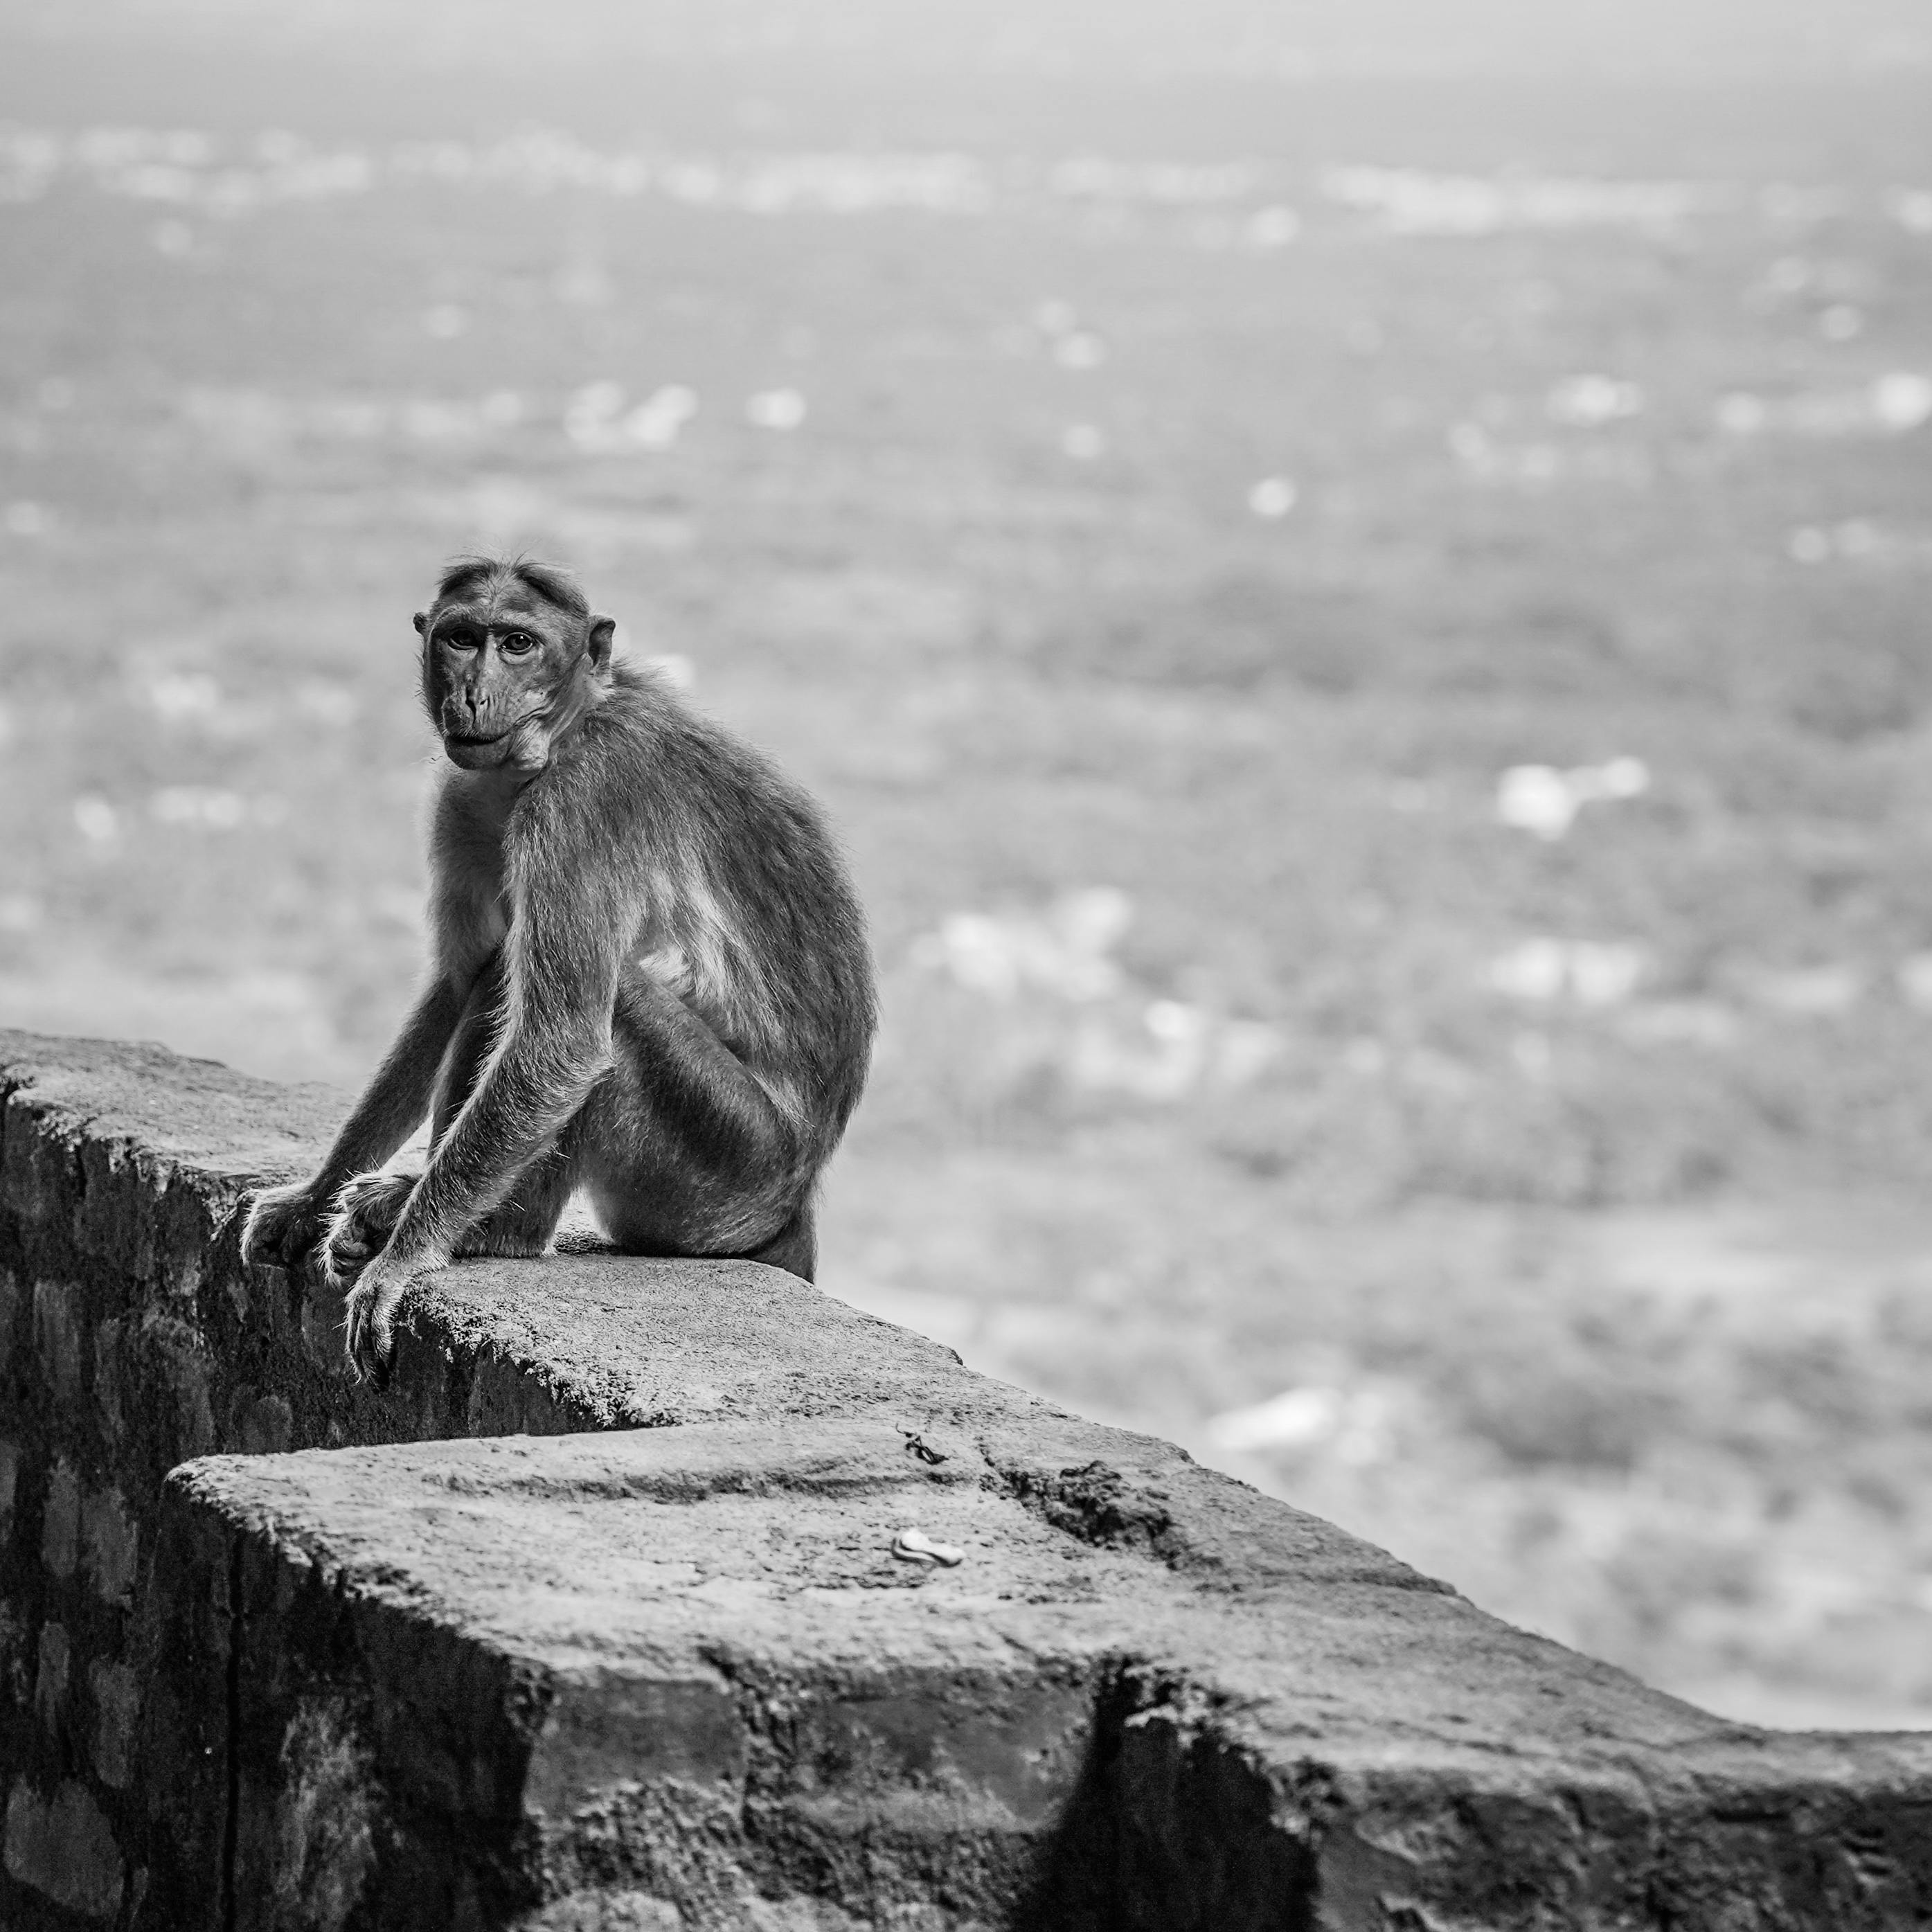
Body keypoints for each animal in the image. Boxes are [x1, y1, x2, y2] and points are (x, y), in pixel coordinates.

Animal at [238, 552, 881, 1383]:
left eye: (519, 643)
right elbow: (453, 988)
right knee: (497, 977)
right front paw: (314, 1197)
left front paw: (407, 1257)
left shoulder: (585, 800)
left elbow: (566, 1041)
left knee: (613, 1010)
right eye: (462, 638)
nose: (474, 692)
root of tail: (797, 1193)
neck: (566, 731)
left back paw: (492, 1232)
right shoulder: (462, 792)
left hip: (729, 1171)